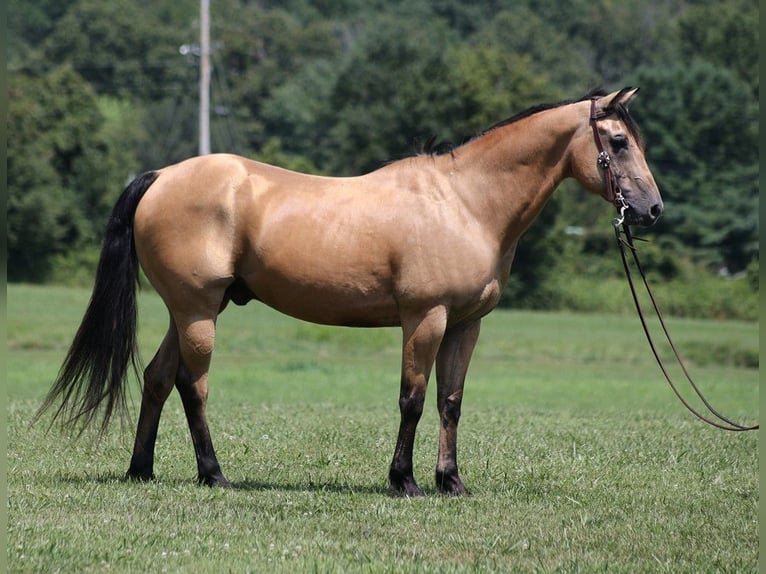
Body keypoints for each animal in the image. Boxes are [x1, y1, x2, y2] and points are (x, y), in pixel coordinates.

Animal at [40, 88, 664, 498]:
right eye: (616, 141)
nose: (652, 209)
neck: (465, 202)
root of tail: (162, 177)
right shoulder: (425, 318)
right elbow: (413, 399)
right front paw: (404, 481)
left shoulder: (466, 324)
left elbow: (450, 401)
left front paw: (452, 481)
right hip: (197, 312)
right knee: (193, 387)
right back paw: (213, 474)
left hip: (187, 310)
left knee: (157, 378)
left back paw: (141, 470)